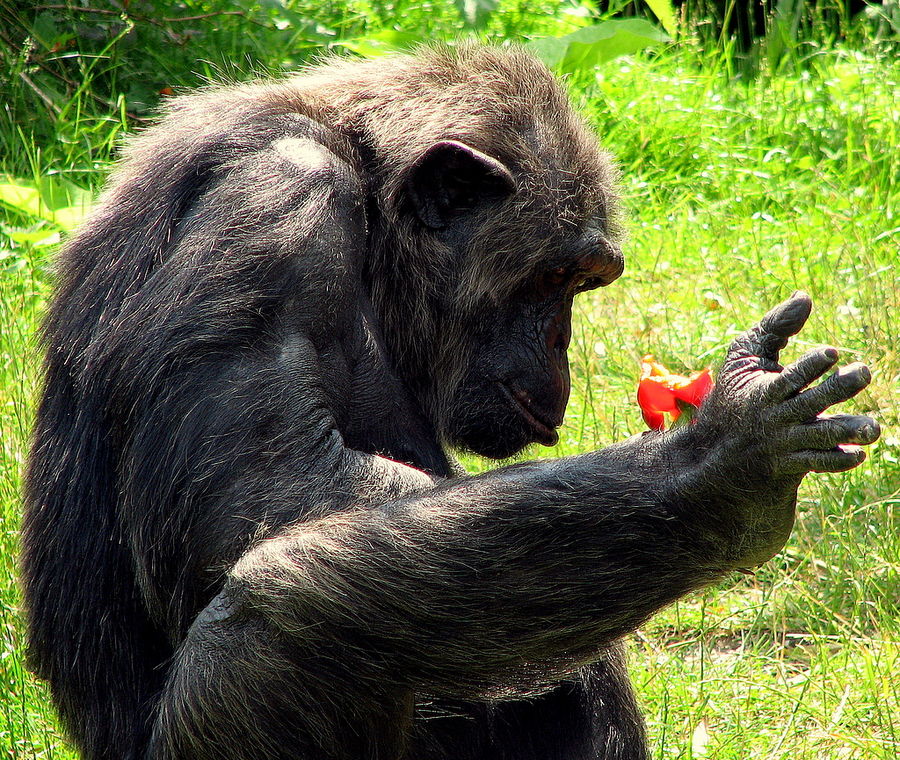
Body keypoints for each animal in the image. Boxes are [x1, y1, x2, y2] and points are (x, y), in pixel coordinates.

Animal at [21, 44, 880, 756]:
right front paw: (722, 467)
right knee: (284, 616)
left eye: (587, 282)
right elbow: (249, 499)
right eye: (554, 277)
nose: (561, 342)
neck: (369, 208)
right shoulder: (269, 213)